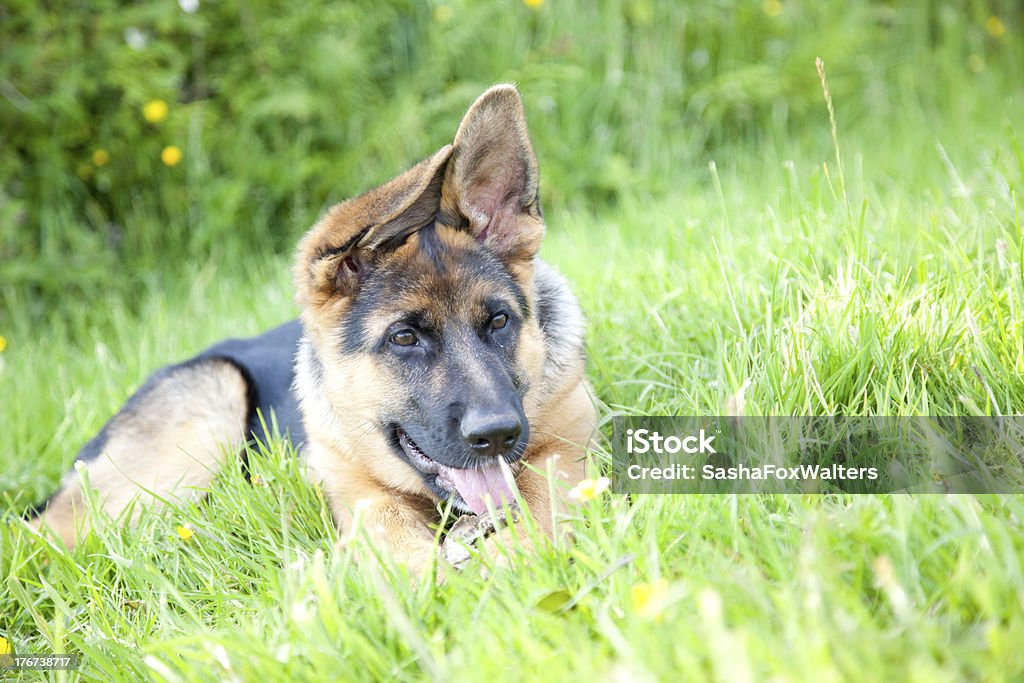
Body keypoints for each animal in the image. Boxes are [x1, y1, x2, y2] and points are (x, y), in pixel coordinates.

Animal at [32, 85, 598, 577]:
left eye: (499, 321)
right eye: (404, 338)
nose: (497, 434)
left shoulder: (565, 455)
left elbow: (541, 508)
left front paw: (502, 566)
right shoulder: (366, 500)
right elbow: (400, 549)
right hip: (206, 412)